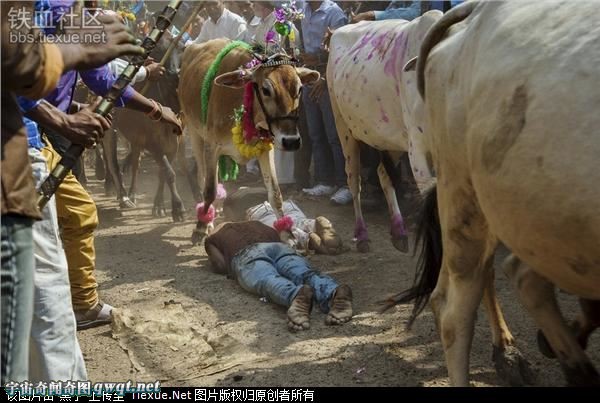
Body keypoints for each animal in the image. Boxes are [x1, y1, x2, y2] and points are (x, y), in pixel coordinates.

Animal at [178, 39, 318, 245]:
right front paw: (201, 228)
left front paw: (287, 233)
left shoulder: (266, 150)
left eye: (299, 89)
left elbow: (275, 193)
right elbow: (209, 189)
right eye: (266, 89)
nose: (291, 141)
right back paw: (206, 218)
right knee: (202, 176)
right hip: (194, 132)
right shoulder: (211, 147)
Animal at [328, 11, 440, 252]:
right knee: (353, 179)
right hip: (343, 128)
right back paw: (362, 235)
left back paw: (398, 231)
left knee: (382, 173)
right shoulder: (418, 153)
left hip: (392, 140)